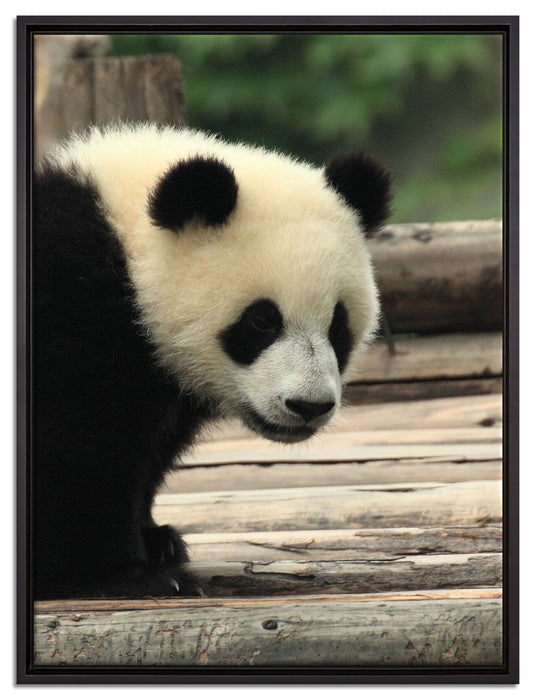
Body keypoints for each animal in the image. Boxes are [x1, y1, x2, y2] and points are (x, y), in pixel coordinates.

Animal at [32, 123, 391, 599]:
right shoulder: (68, 312)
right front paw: (122, 574)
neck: (126, 251)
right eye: (261, 321)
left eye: (338, 326)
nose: (308, 406)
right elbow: (73, 448)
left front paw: (157, 541)